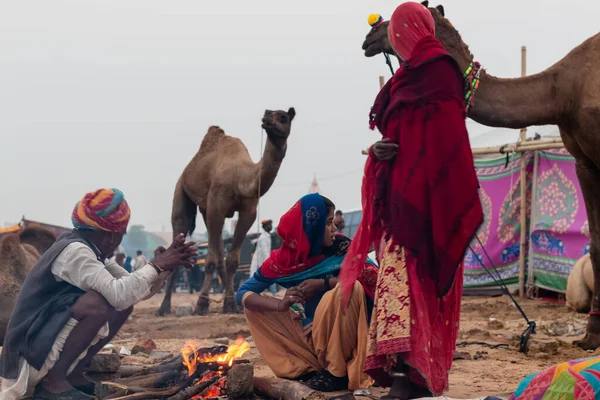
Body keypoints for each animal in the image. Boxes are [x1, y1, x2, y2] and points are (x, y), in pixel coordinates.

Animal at [156, 108, 294, 318]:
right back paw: (164, 308)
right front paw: (201, 304)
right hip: (182, 191)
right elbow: (210, 260)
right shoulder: (217, 207)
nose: (267, 120)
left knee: (219, 249)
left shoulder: (248, 212)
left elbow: (231, 260)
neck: (241, 178)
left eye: (284, 117)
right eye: (269, 113)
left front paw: (231, 304)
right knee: (180, 226)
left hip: (206, 209)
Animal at [360, 1, 600, 348]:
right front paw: (591, 336)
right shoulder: (583, 160)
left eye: (396, 20)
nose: (370, 36)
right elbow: (596, 244)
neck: (563, 93)